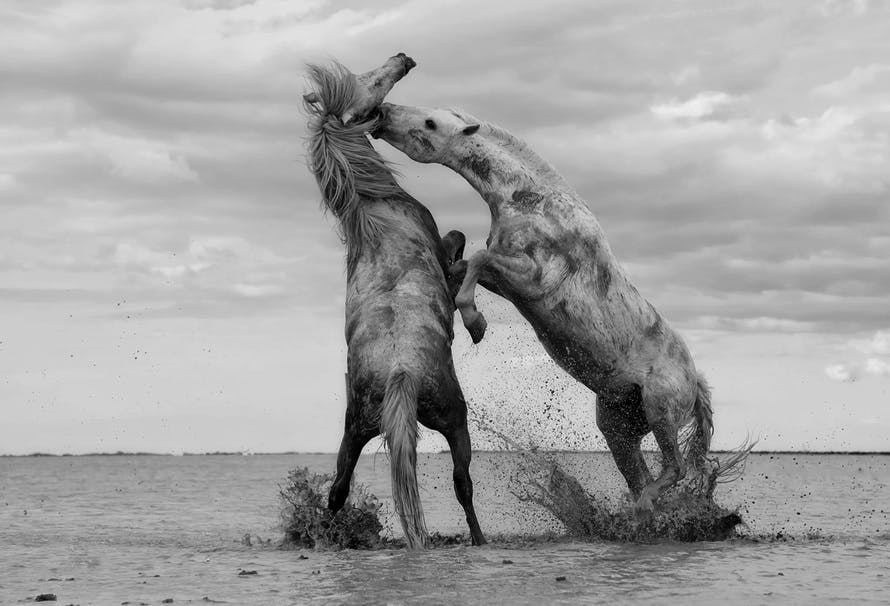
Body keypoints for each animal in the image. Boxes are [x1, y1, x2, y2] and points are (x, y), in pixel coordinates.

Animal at [306, 58, 486, 552]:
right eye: (369, 82)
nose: (403, 59)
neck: (373, 209)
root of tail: (400, 372)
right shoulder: (443, 252)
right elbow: (461, 250)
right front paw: (476, 322)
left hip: (354, 430)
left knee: (338, 488)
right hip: (456, 422)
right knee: (463, 485)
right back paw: (479, 539)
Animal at [372, 102, 720, 520]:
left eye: (430, 123)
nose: (382, 112)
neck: (533, 203)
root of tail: (695, 382)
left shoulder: (531, 278)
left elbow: (479, 259)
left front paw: (475, 322)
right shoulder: (507, 281)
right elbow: (467, 265)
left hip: (660, 408)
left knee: (675, 467)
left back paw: (644, 505)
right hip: (618, 424)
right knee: (639, 472)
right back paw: (639, 513)